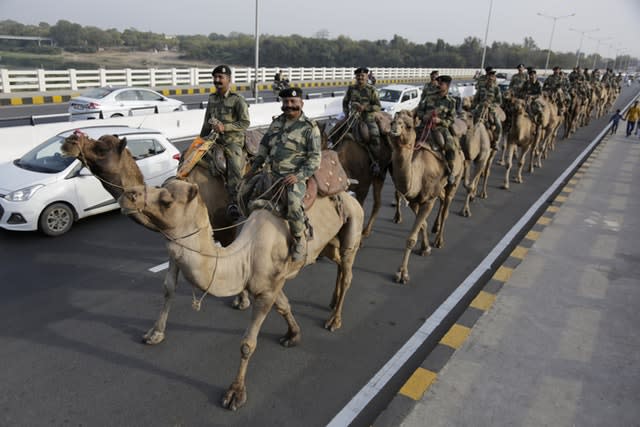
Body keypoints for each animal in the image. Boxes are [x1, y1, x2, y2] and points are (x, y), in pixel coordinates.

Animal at [117, 180, 362, 412]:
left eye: (166, 201)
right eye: (159, 186)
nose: (127, 194)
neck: (245, 257)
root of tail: (350, 195)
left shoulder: (266, 291)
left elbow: (247, 344)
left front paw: (235, 394)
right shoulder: (271, 284)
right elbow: (284, 305)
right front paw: (293, 335)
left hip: (353, 225)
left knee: (348, 269)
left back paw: (334, 319)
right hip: (329, 243)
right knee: (337, 261)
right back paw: (332, 301)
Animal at [388, 110, 462, 284]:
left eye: (408, 125)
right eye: (393, 121)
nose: (394, 128)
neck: (418, 173)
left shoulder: (428, 200)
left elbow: (411, 238)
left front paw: (402, 274)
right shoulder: (414, 200)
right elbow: (422, 224)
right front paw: (425, 248)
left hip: (456, 178)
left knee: (447, 205)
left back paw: (439, 240)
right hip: (439, 188)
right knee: (442, 199)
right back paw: (435, 228)